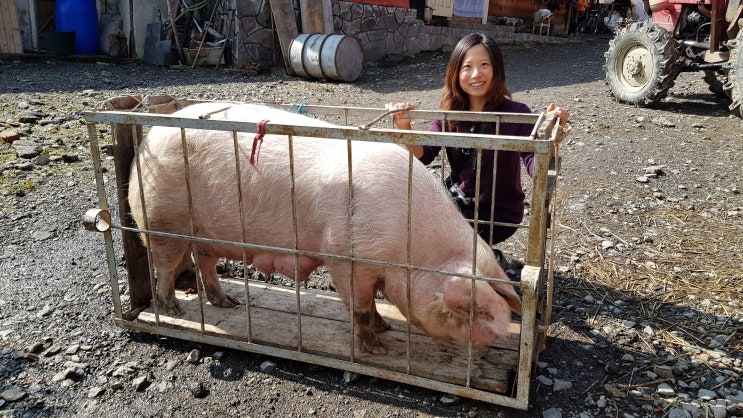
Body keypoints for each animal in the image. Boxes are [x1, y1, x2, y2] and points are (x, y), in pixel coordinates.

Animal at [129, 101, 524, 352]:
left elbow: (373, 302)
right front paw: (378, 348)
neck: (410, 249)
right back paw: (173, 311)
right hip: (162, 218)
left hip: (205, 233)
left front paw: (385, 326)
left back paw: (228, 303)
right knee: (165, 266)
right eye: (469, 308)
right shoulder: (343, 257)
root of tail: (147, 139)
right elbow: (359, 305)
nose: (501, 331)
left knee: (204, 262)